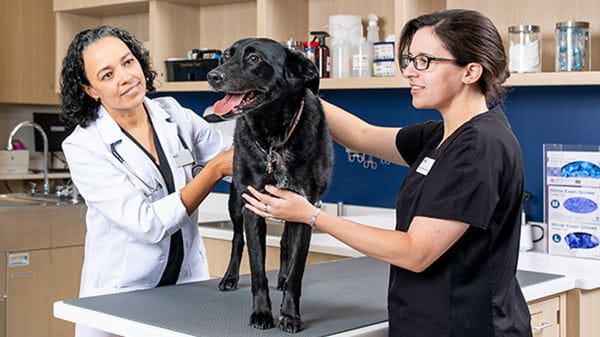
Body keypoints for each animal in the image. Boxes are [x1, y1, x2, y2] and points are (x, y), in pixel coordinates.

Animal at [209, 38, 332, 332]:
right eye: (226, 55)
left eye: (254, 59)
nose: (212, 76)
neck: (274, 140)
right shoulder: (253, 208)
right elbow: (257, 270)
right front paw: (262, 313)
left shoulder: (302, 209)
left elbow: (297, 269)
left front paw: (290, 314)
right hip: (236, 203)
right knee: (236, 239)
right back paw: (230, 278)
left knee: (286, 243)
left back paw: (283, 278)